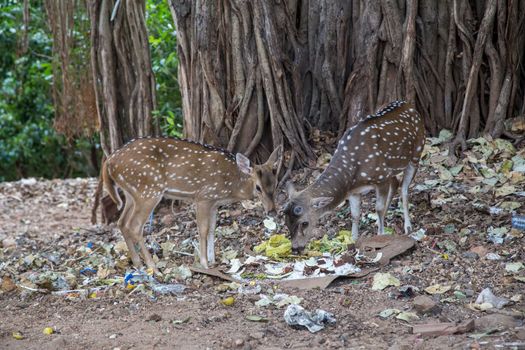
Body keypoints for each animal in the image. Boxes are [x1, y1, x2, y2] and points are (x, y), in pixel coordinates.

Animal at [101, 137, 280, 270]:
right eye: (258, 188)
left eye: (276, 183)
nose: (272, 211)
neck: (231, 185)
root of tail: (108, 161)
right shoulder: (203, 197)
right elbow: (203, 230)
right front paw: (204, 263)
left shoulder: (215, 203)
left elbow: (212, 229)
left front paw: (213, 259)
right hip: (148, 191)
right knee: (135, 225)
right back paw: (152, 266)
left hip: (132, 193)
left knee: (122, 222)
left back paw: (138, 264)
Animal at [282, 100, 426, 252]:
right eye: (286, 222)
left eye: (304, 223)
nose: (295, 248)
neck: (352, 176)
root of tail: (409, 105)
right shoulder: (354, 191)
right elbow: (355, 215)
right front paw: (353, 239)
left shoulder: (381, 177)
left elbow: (378, 208)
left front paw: (381, 235)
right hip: (392, 169)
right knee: (395, 183)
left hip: (417, 153)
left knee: (404, 189)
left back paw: (408, 227)